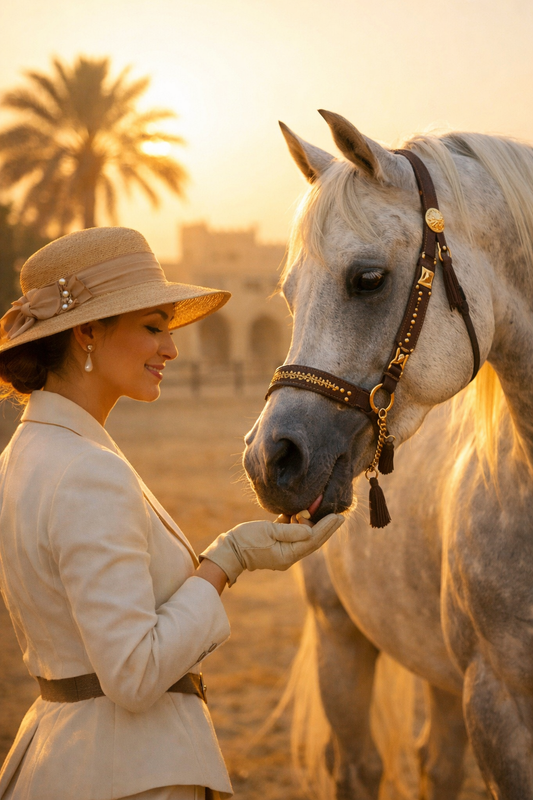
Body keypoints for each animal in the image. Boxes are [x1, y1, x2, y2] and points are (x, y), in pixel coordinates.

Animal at [243, 111, 533, 799]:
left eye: (368, 278)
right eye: (289, 295)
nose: (270, 458)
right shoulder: (498, 703)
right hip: (340, 637)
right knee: (360, 766)